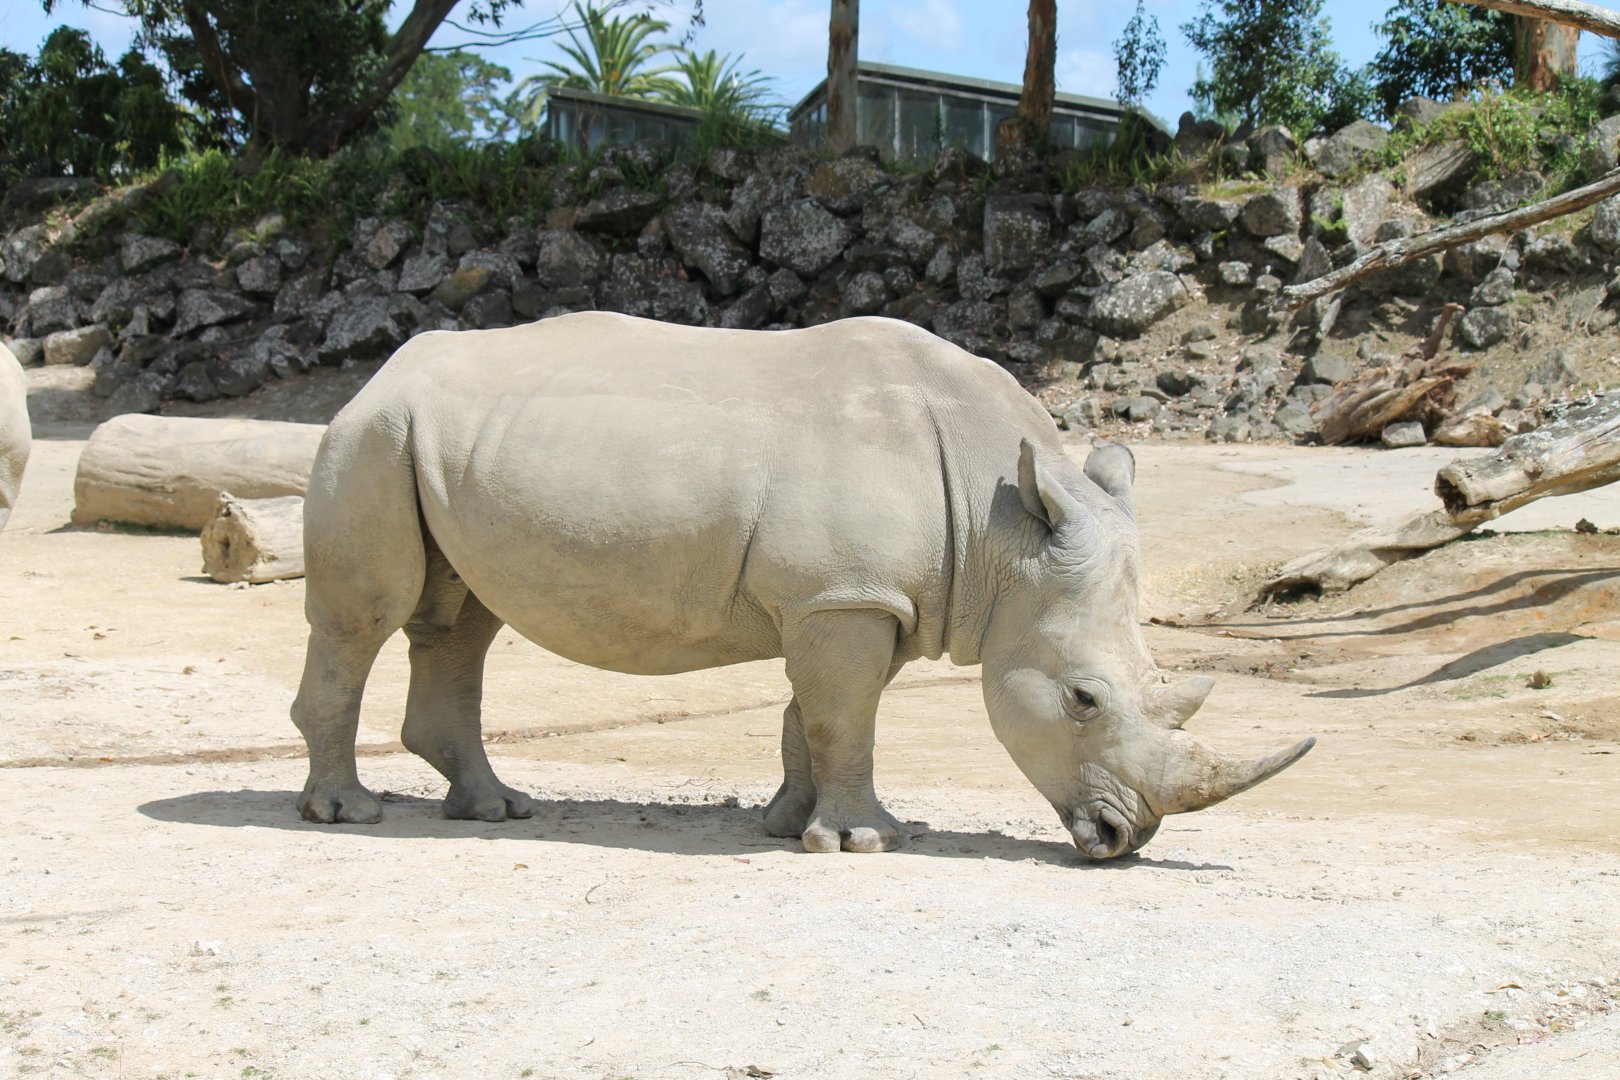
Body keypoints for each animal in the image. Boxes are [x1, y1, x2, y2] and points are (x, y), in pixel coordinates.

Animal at [293, 312, 1313, 859]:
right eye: (1083, 700)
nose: (1120, 841)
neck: (1003, 536)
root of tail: (382, 367)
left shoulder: (864, 595)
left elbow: (813, 715)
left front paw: (787, 827)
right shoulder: (844, 596)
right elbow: (844, 716)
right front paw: (867, 843)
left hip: (435, 441)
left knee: (461, 619)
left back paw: (493, 808)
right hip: (372, 433)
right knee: (370, 617)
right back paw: (345, 813)